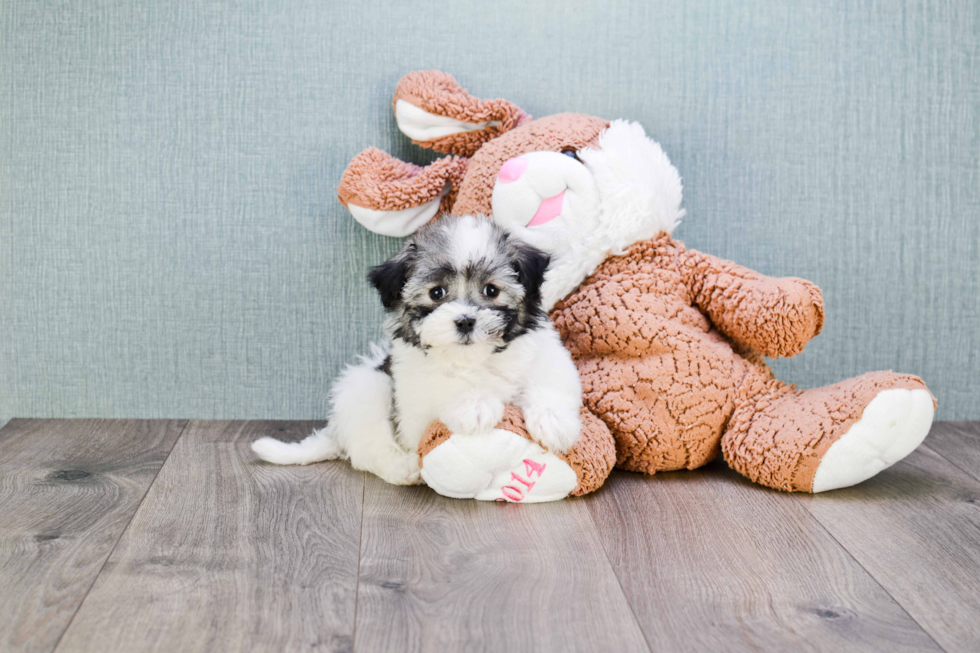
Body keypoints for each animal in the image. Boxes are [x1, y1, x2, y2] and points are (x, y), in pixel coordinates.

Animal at [253, 214, 580, 484]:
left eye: (491, 290)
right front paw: (475, 404)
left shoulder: (547, 354)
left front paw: (554, 420)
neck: (473, 360)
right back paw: (403, 468)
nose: (465, 320)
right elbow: (443, 389)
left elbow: (550, 380)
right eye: (437, 293)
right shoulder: (415, 397)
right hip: (367, 386)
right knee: (369, 446)